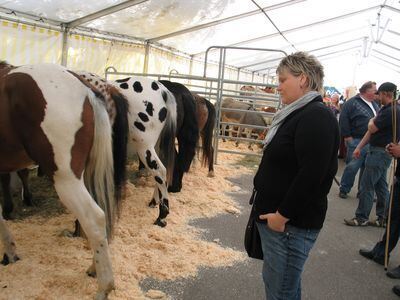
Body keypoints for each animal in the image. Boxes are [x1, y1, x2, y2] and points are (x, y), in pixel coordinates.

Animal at [0, 61, 128, 300]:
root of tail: (86, 89)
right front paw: (10, 252)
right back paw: (94, 269)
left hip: (67, 179)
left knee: (94, 218)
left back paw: (104, 287)